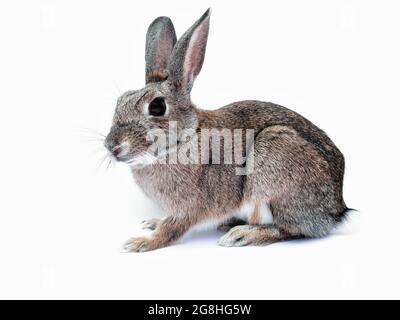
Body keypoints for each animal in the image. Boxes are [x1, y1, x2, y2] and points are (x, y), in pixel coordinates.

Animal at [104, 8, 348, 251]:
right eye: (120, 100)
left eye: (157, 106)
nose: (112, 147)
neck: (184, 139)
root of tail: (336, 211)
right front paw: (152, 223)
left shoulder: (189, 209)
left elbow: (172, 229)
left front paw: (141, 242)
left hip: (274, 165)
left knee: (290, 230)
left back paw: (243, 234)